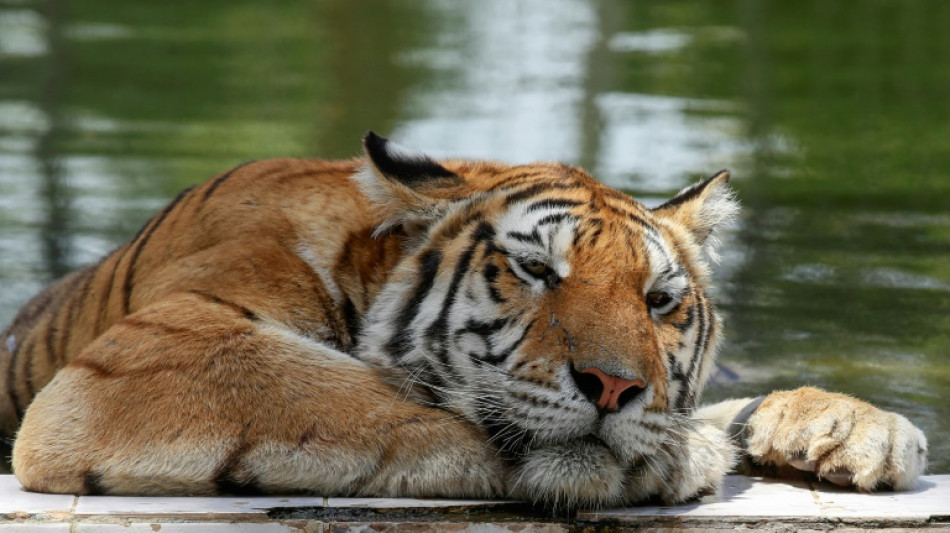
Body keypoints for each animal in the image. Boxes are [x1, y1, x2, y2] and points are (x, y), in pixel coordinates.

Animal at [0, 132, 927, 509]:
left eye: (658, 301)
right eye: (536, 271)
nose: (615, 385)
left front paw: (861, 428)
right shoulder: (155, 356)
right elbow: (361, 404)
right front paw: (672, 459)